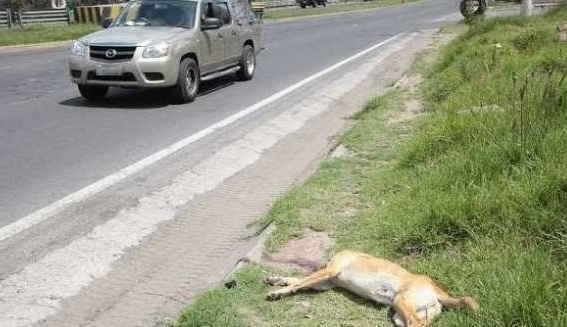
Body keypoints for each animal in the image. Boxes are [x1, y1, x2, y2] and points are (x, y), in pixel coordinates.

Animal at [266, 251, 480, 326]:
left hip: (401, 301)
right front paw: (276, 279)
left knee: (416, 324)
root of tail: (437, 289)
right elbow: (296, 280)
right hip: (400, 314)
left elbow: (299, 282)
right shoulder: (325, 282)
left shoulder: (328, 273)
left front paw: (277, 292)